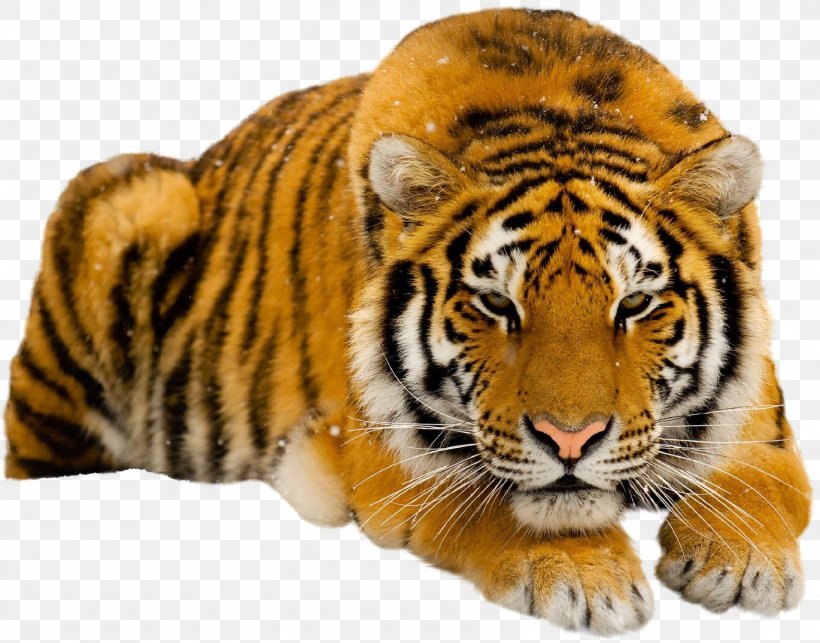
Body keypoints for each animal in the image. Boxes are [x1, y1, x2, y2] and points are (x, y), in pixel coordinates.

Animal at [3, 9, 810, 634]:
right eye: (497, 304)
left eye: (634, 303)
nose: (570, 440)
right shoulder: (384, 452)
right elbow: (496, 500)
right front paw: (587, 578)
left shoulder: (759, 421)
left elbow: (761, 487)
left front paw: (744, 565)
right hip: (127, 206)